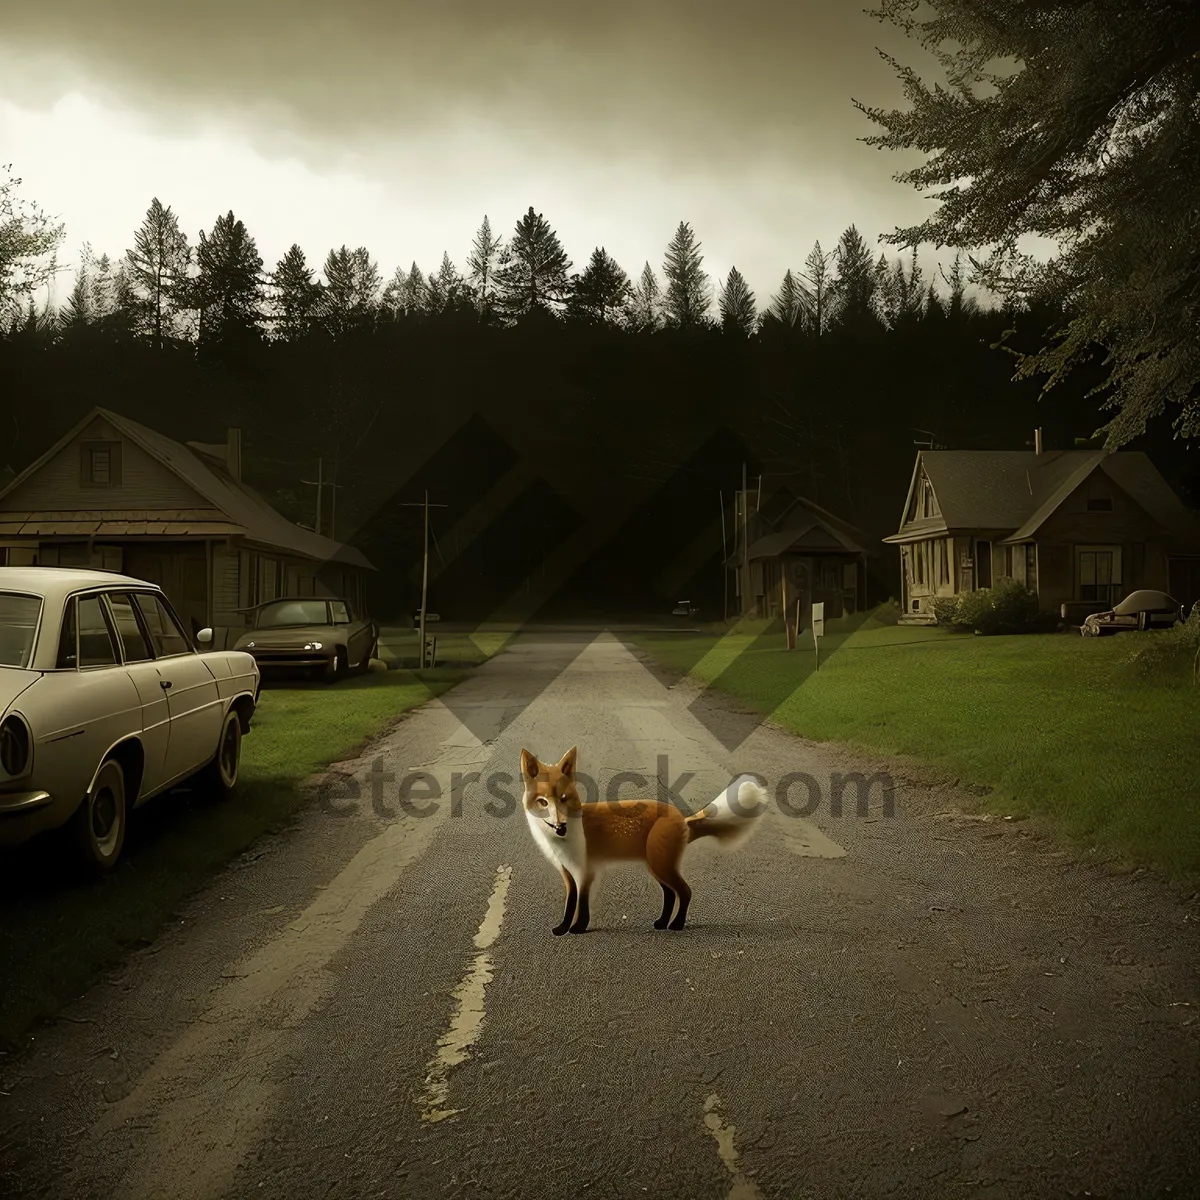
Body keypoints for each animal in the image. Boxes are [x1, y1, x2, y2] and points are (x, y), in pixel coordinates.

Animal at [523, 744, 768, 931]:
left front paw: (579, 928)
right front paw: (563, 928)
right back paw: (662, 923)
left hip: (660, 864)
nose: (561, 825)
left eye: (564, 798)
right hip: (656, 866)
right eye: (543, 802)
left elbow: (581, 905)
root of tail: (682, 818)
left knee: (685, 892)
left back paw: (676, 925)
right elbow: (569, 905)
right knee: (670, 894)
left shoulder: (585, 872)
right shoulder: (568, 873)